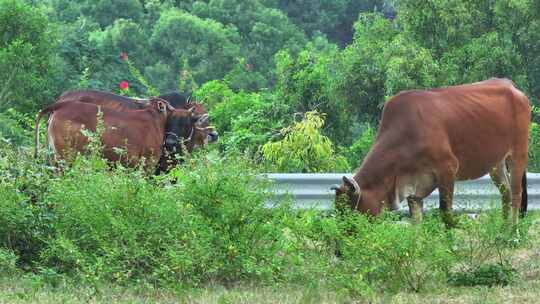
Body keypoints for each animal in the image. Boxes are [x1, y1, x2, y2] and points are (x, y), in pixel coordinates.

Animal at [334, 78, 532, 226]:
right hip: (496, 164)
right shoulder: (413, 189)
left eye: (348, 211)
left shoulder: (448, 169)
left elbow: (446, 214)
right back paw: (502, 230)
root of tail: (511, 87)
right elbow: (416, 222)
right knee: (506, 193)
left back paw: (512, 233)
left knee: (516, 194)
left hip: (518, 154)